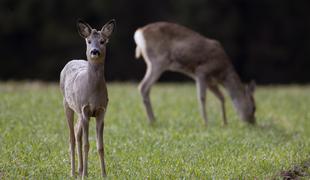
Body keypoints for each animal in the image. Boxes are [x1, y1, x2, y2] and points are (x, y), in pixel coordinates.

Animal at [59, 18, 115, 177]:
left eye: (102, 41)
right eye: (89, 41)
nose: (94, 51)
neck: (93, 93)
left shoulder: (101, 111)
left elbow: (100, 146)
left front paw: (104, 174)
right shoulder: (85, 110)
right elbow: (86, 144)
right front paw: (84, 175)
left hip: (78, 110)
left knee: (77, 134)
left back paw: (81, 170)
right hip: (67, 104)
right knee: (72, 137)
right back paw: (74, 173)